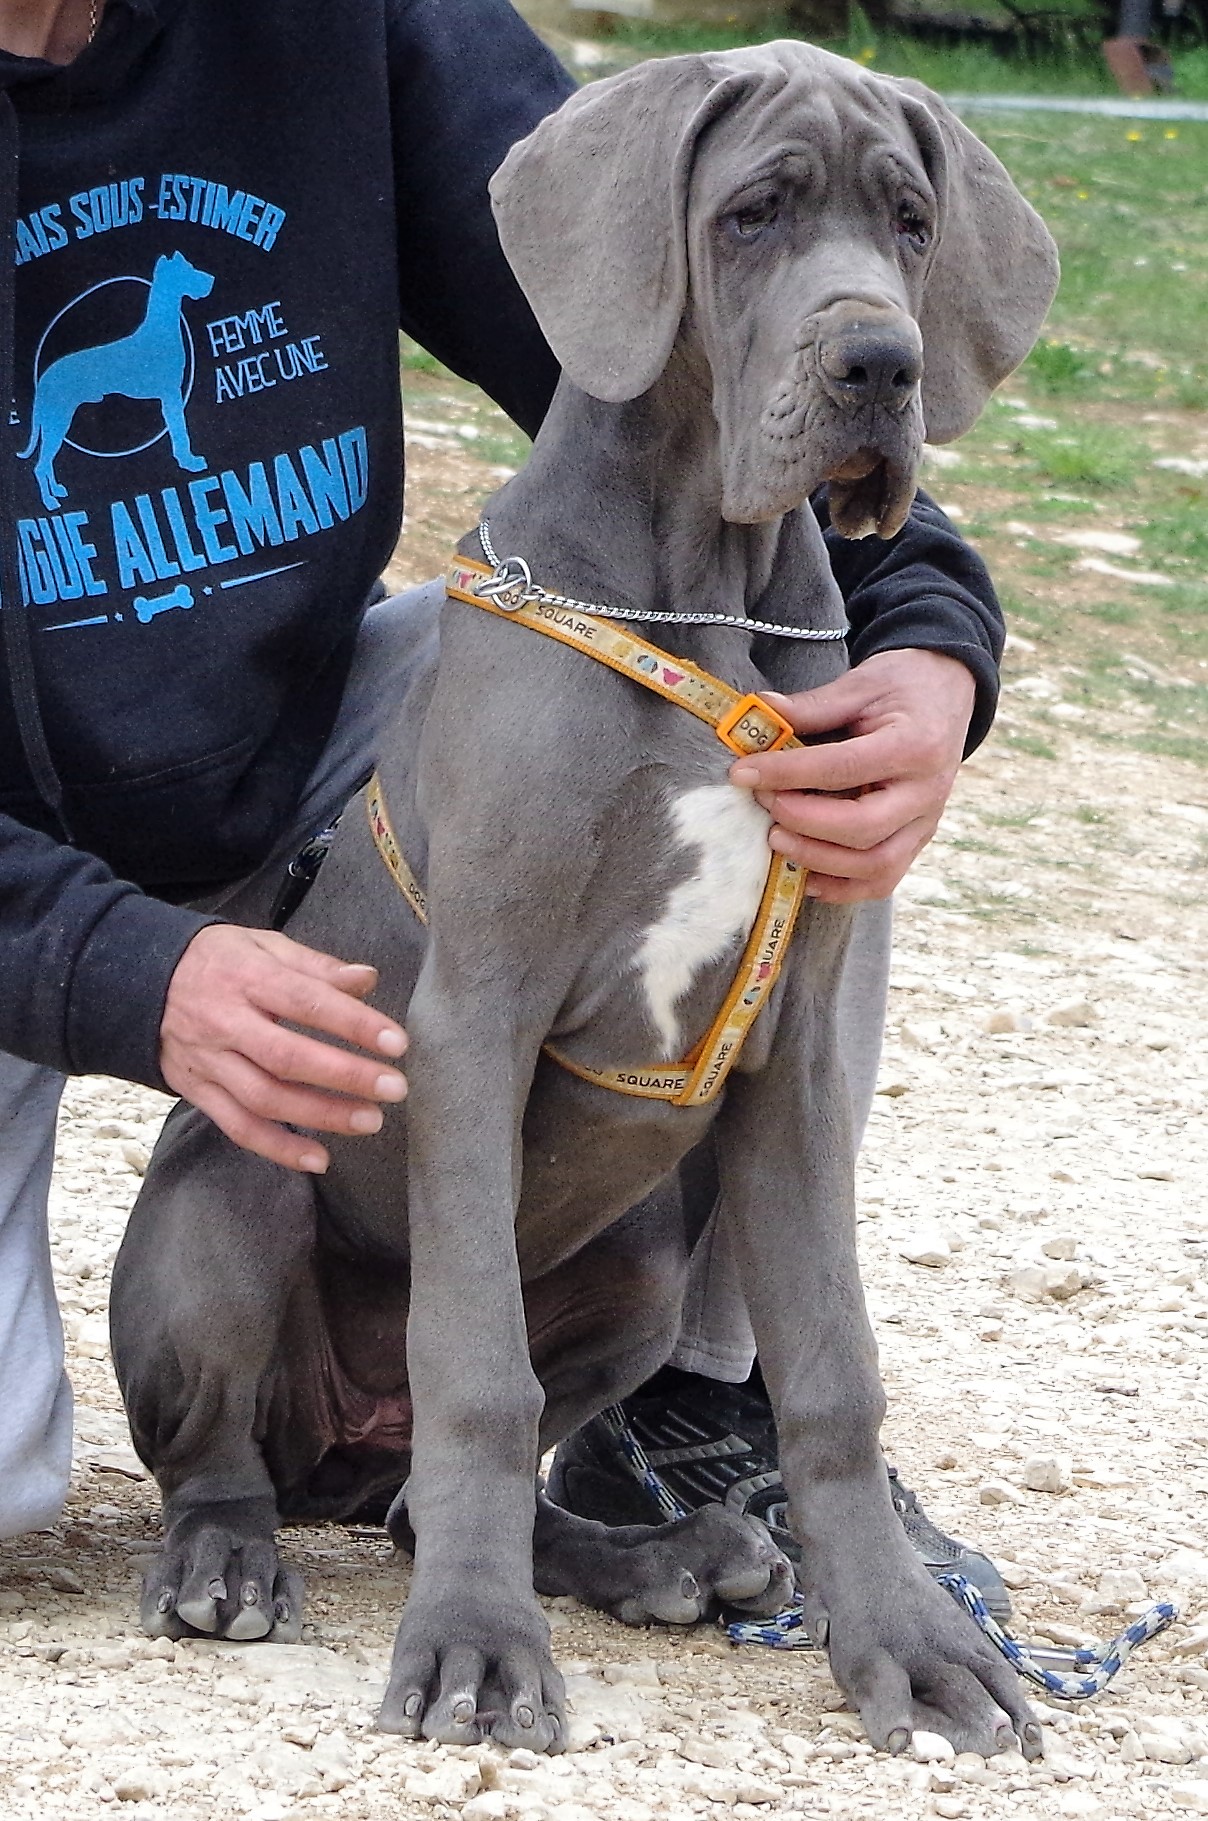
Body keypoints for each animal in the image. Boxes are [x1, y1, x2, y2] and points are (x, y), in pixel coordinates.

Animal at [20, 249, 214, 511]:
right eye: (188, 270)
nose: (211, 279)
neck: (161, 330)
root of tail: (44, 377)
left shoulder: (169, 397)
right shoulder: (171, 394)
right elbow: (181, 430)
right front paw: (190, 462)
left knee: (47, 461)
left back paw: (57, 491)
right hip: (57, 419)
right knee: (40, 465)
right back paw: (49, 501)